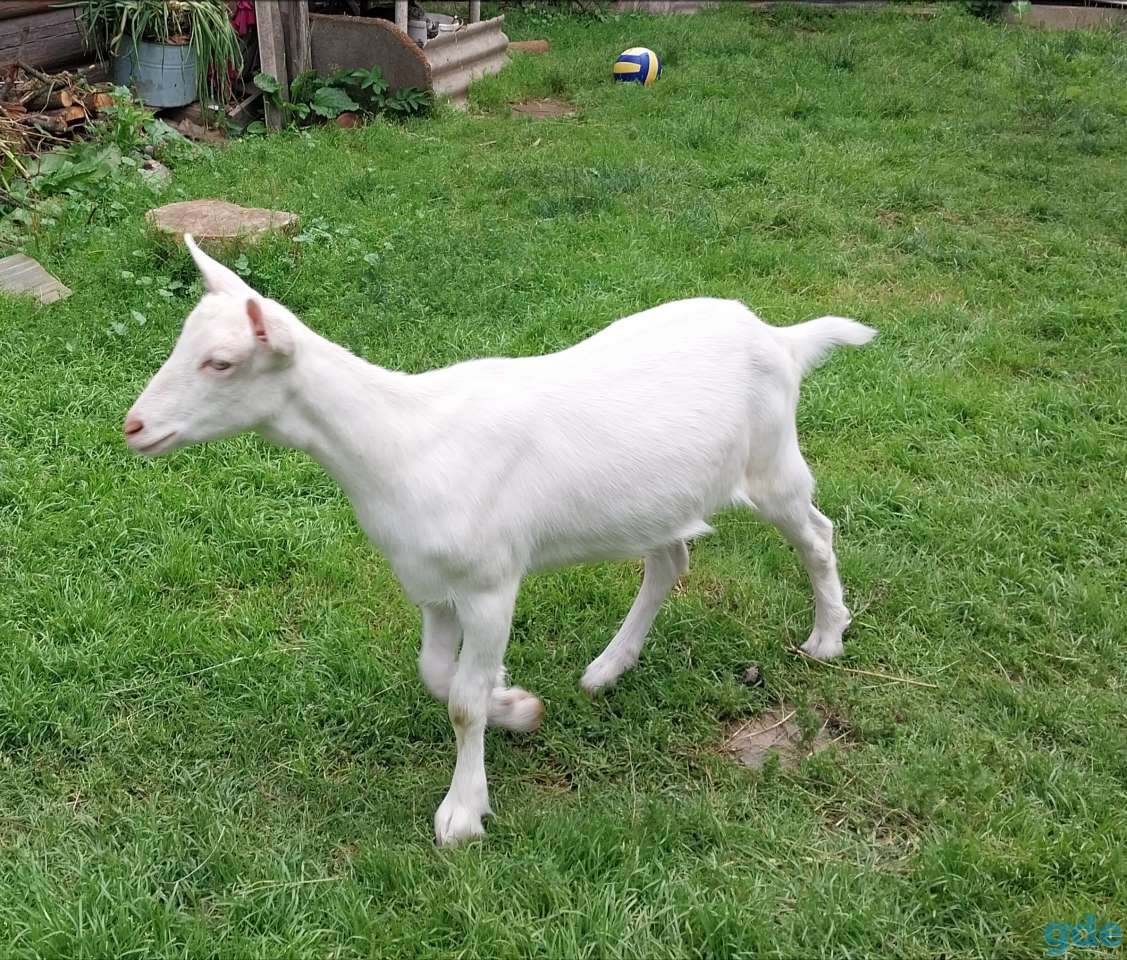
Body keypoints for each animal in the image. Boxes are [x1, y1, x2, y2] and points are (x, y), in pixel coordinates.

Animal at [125, 235, 876, 845]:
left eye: (221, 363)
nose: (133, 426)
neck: (401, 439)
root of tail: (780, 337)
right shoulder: (431, 585)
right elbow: (438, 675)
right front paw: (515, 707)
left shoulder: (490, 582)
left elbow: (459, 701)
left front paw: (463, 813)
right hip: (659, 498)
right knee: (671, 556)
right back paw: (608, 668)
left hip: (772, 460)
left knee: (816, 534)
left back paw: (826, 637)